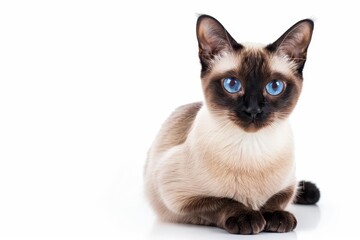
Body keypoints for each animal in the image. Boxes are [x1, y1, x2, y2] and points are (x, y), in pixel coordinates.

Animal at [145, 15, 320, 234]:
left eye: (274, 87)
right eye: (232, 84)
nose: (253, 110)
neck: (251, 149)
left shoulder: (288, 185)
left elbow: (276, 200)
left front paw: (275, 217)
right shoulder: (175, 195)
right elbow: (222, 201)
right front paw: (247, 217)